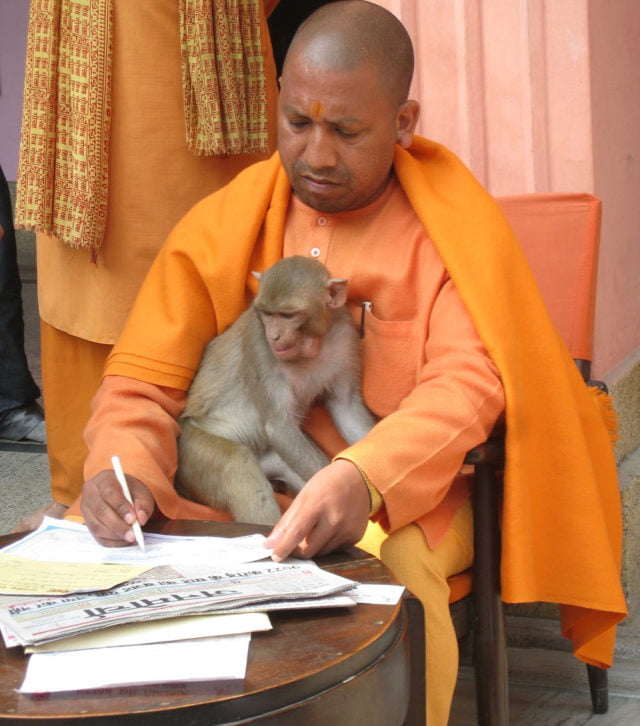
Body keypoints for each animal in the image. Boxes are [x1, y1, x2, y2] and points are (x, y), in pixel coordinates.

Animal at [175, 255, 376, 525]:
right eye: (267, 314)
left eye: (288, 315)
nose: (274, 335)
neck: (311, 347)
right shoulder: (259, 346)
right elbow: (278, 426)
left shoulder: (345, 339)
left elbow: (346, 408)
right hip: (190, 451)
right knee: (237, 463)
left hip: (277, 458)